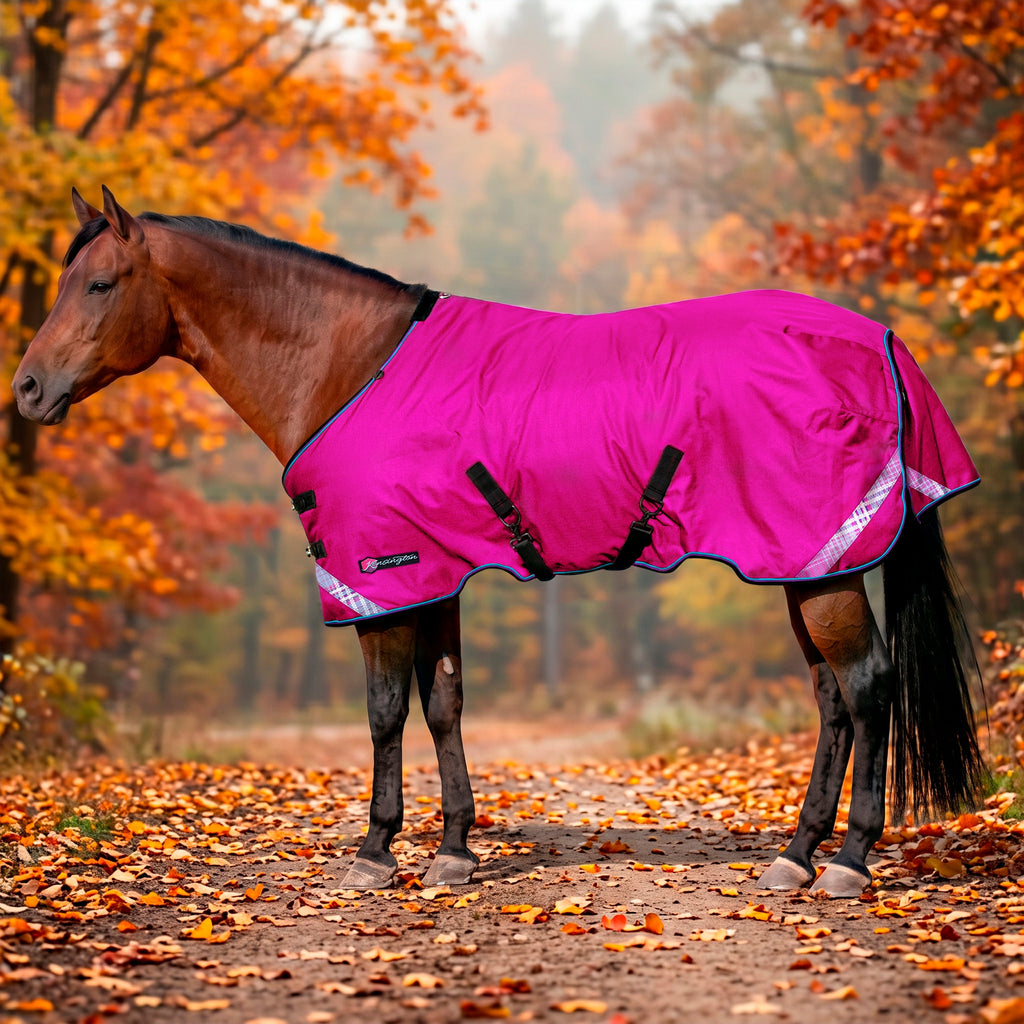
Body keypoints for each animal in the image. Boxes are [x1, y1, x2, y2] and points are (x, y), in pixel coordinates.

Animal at [12, 187, 985, 898]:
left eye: (99, 284)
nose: (25, 389)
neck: (350, 367)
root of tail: (881, 341)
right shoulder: (432, 575)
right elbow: (443, 704)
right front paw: (452, 849)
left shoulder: (378, 578)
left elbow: (383, 712)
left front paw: (375, 850)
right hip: (805, 564)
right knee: (832, 701)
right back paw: (797, 854)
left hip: (822, 567)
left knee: (868, 687)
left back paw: (848, 862)